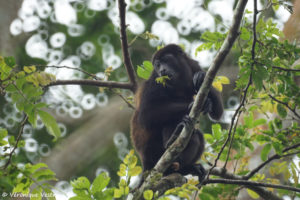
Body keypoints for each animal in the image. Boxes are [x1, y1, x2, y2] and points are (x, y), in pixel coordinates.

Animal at [130, 44, 224, 180]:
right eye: (157, 65)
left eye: (166, 60)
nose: (162, 70)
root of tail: (145, 164)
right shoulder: (155, 81)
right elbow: (146, 115)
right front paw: (194, 106)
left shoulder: (193, 66)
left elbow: (218, 112)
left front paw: (201, 78)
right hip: (152, 152)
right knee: (173, 122)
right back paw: (173, 138)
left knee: (197, 136)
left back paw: (185, 168)